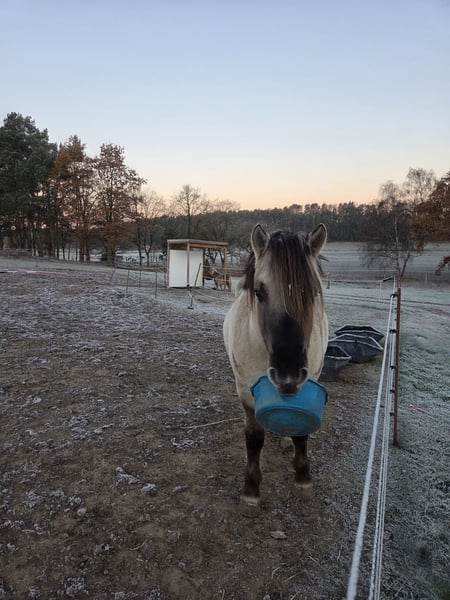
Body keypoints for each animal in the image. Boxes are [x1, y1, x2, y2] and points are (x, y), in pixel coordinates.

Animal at [223, 223, 328, 515]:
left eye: (314, 292)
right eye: (259, 292)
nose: (288, 376)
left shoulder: (309, 382)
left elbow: (302, 433)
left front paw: (303, 478)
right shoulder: (245, 390)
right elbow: (254, 437)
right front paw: (251, 490)